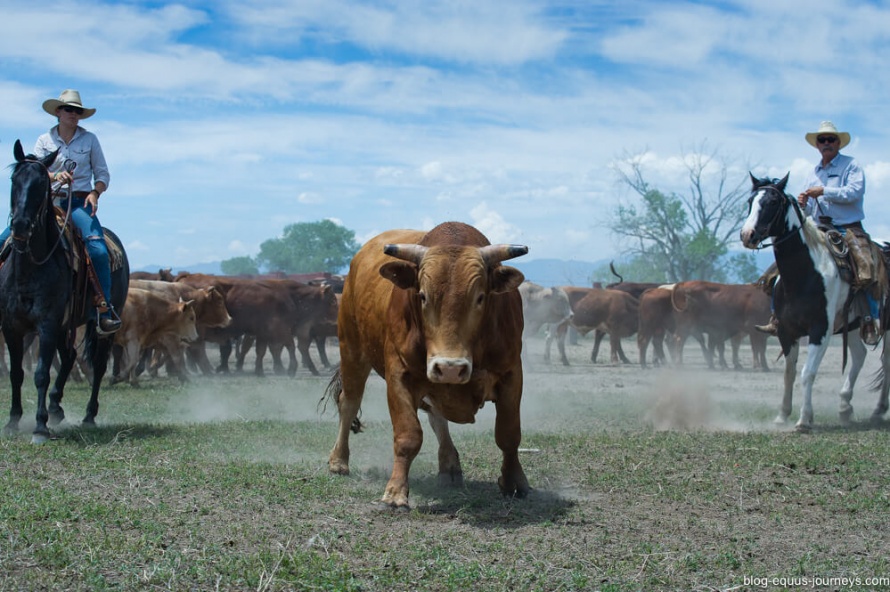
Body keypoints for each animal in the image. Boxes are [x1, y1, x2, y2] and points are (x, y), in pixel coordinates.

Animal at [2, 140, 128, 444]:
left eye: (41, 185)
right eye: (14, 180)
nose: (20, 225)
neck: (30, 267)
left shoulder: (47, 324)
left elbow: (40, 374)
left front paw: (39, 427)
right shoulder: (12, 326)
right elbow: (16, 374)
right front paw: (13, 421)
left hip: (103, 324)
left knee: (98, 364)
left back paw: (88, 415)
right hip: (65, 325)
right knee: (70, 357)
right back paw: (56, 408)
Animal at [322, 222, 528, 508]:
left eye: (480, 297)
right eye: (422, 295)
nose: (450, 367)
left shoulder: (511, 374)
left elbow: (508, 434)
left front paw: (514, 482)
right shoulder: (400, 376)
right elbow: (408, 436)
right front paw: (396, 491)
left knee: (436, 417)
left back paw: (450, 465)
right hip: (352, 350)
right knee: (348, 403)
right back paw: (339, 460)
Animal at [736, 173, 888, 432]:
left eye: (772, 202)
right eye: (750, 201)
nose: (748, 235)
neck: (804, 274)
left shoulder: (820, 330)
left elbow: (807, 373)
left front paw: (804, 419)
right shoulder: (786, 331)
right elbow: (789, 373)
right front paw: (782, 415)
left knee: (885, 363)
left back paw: (878, 411)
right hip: (853, 324)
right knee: (859, 356)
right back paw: (844, 406)